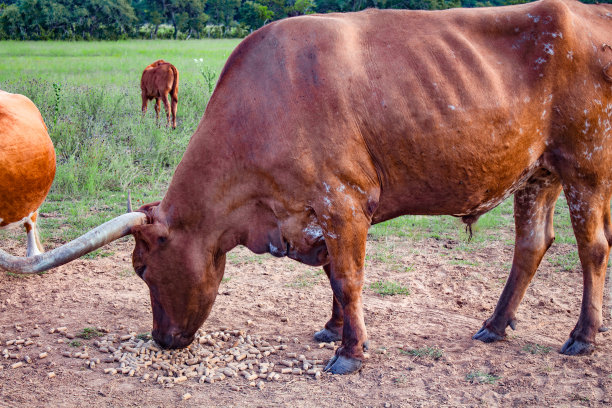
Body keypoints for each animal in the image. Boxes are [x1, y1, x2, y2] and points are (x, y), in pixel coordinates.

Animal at [1, 0, 612, 376]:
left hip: (586, 166)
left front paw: (350, 351)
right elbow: (331, 280)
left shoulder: (342, 205)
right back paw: (495, 325)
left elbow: (347, 278)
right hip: (538, 172)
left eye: (142, 268)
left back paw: (583, 336)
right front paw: (331, 329)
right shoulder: (312, 215)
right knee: (531, 246)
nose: (162, 340)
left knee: (593, 249)